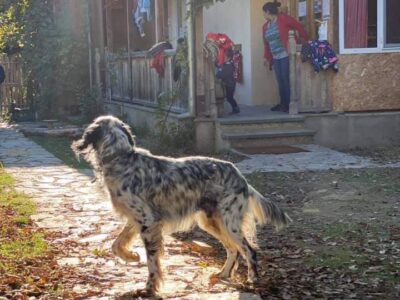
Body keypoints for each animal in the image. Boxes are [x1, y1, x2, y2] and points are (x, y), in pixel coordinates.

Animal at [72, 115, 290, 296]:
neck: (121, 157)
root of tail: (241, 177)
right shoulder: (136, 219)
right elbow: (116, 245)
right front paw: (132, 256)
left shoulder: (148, 222)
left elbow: (152, 263)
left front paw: (149, 288)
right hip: (211, 222)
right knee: (233, 249)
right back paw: (223, 274)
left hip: (229, 222)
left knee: (249, 250)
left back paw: (252, 279)